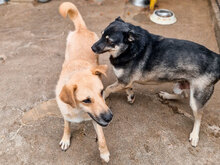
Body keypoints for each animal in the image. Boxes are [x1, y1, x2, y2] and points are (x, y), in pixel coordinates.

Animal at [55, 2, 112, 162]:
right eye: (86, 100)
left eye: (101, 92)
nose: (109, 117)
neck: (79, 111)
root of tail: (82, 29)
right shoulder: (66, 115)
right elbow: (66, 126)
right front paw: (66, 139)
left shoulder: (97, 120)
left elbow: (102, 137)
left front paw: (104, 152)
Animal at [92, 17, 220, 147]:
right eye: (102, 34)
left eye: (109, 41)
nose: (92, 48)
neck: (129, 48)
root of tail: (217, 58)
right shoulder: (125, 81)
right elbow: (129, 87)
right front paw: (131, 95)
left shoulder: (124, 81)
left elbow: (108, 88)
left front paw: (103, 96)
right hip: (181, 83)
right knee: (183, 95)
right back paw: (167, 96)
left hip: (196, 98)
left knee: (199, 115)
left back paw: (194, 135)